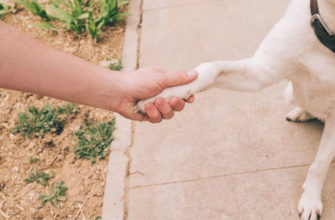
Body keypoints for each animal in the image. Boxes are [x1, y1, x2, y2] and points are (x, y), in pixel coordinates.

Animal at [136, 0, 335, 220]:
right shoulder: (261, 72)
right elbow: (212, 69)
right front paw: (161, 94)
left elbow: (320, 164)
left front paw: (310, 200)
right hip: (289, 92)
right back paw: (302, 111)